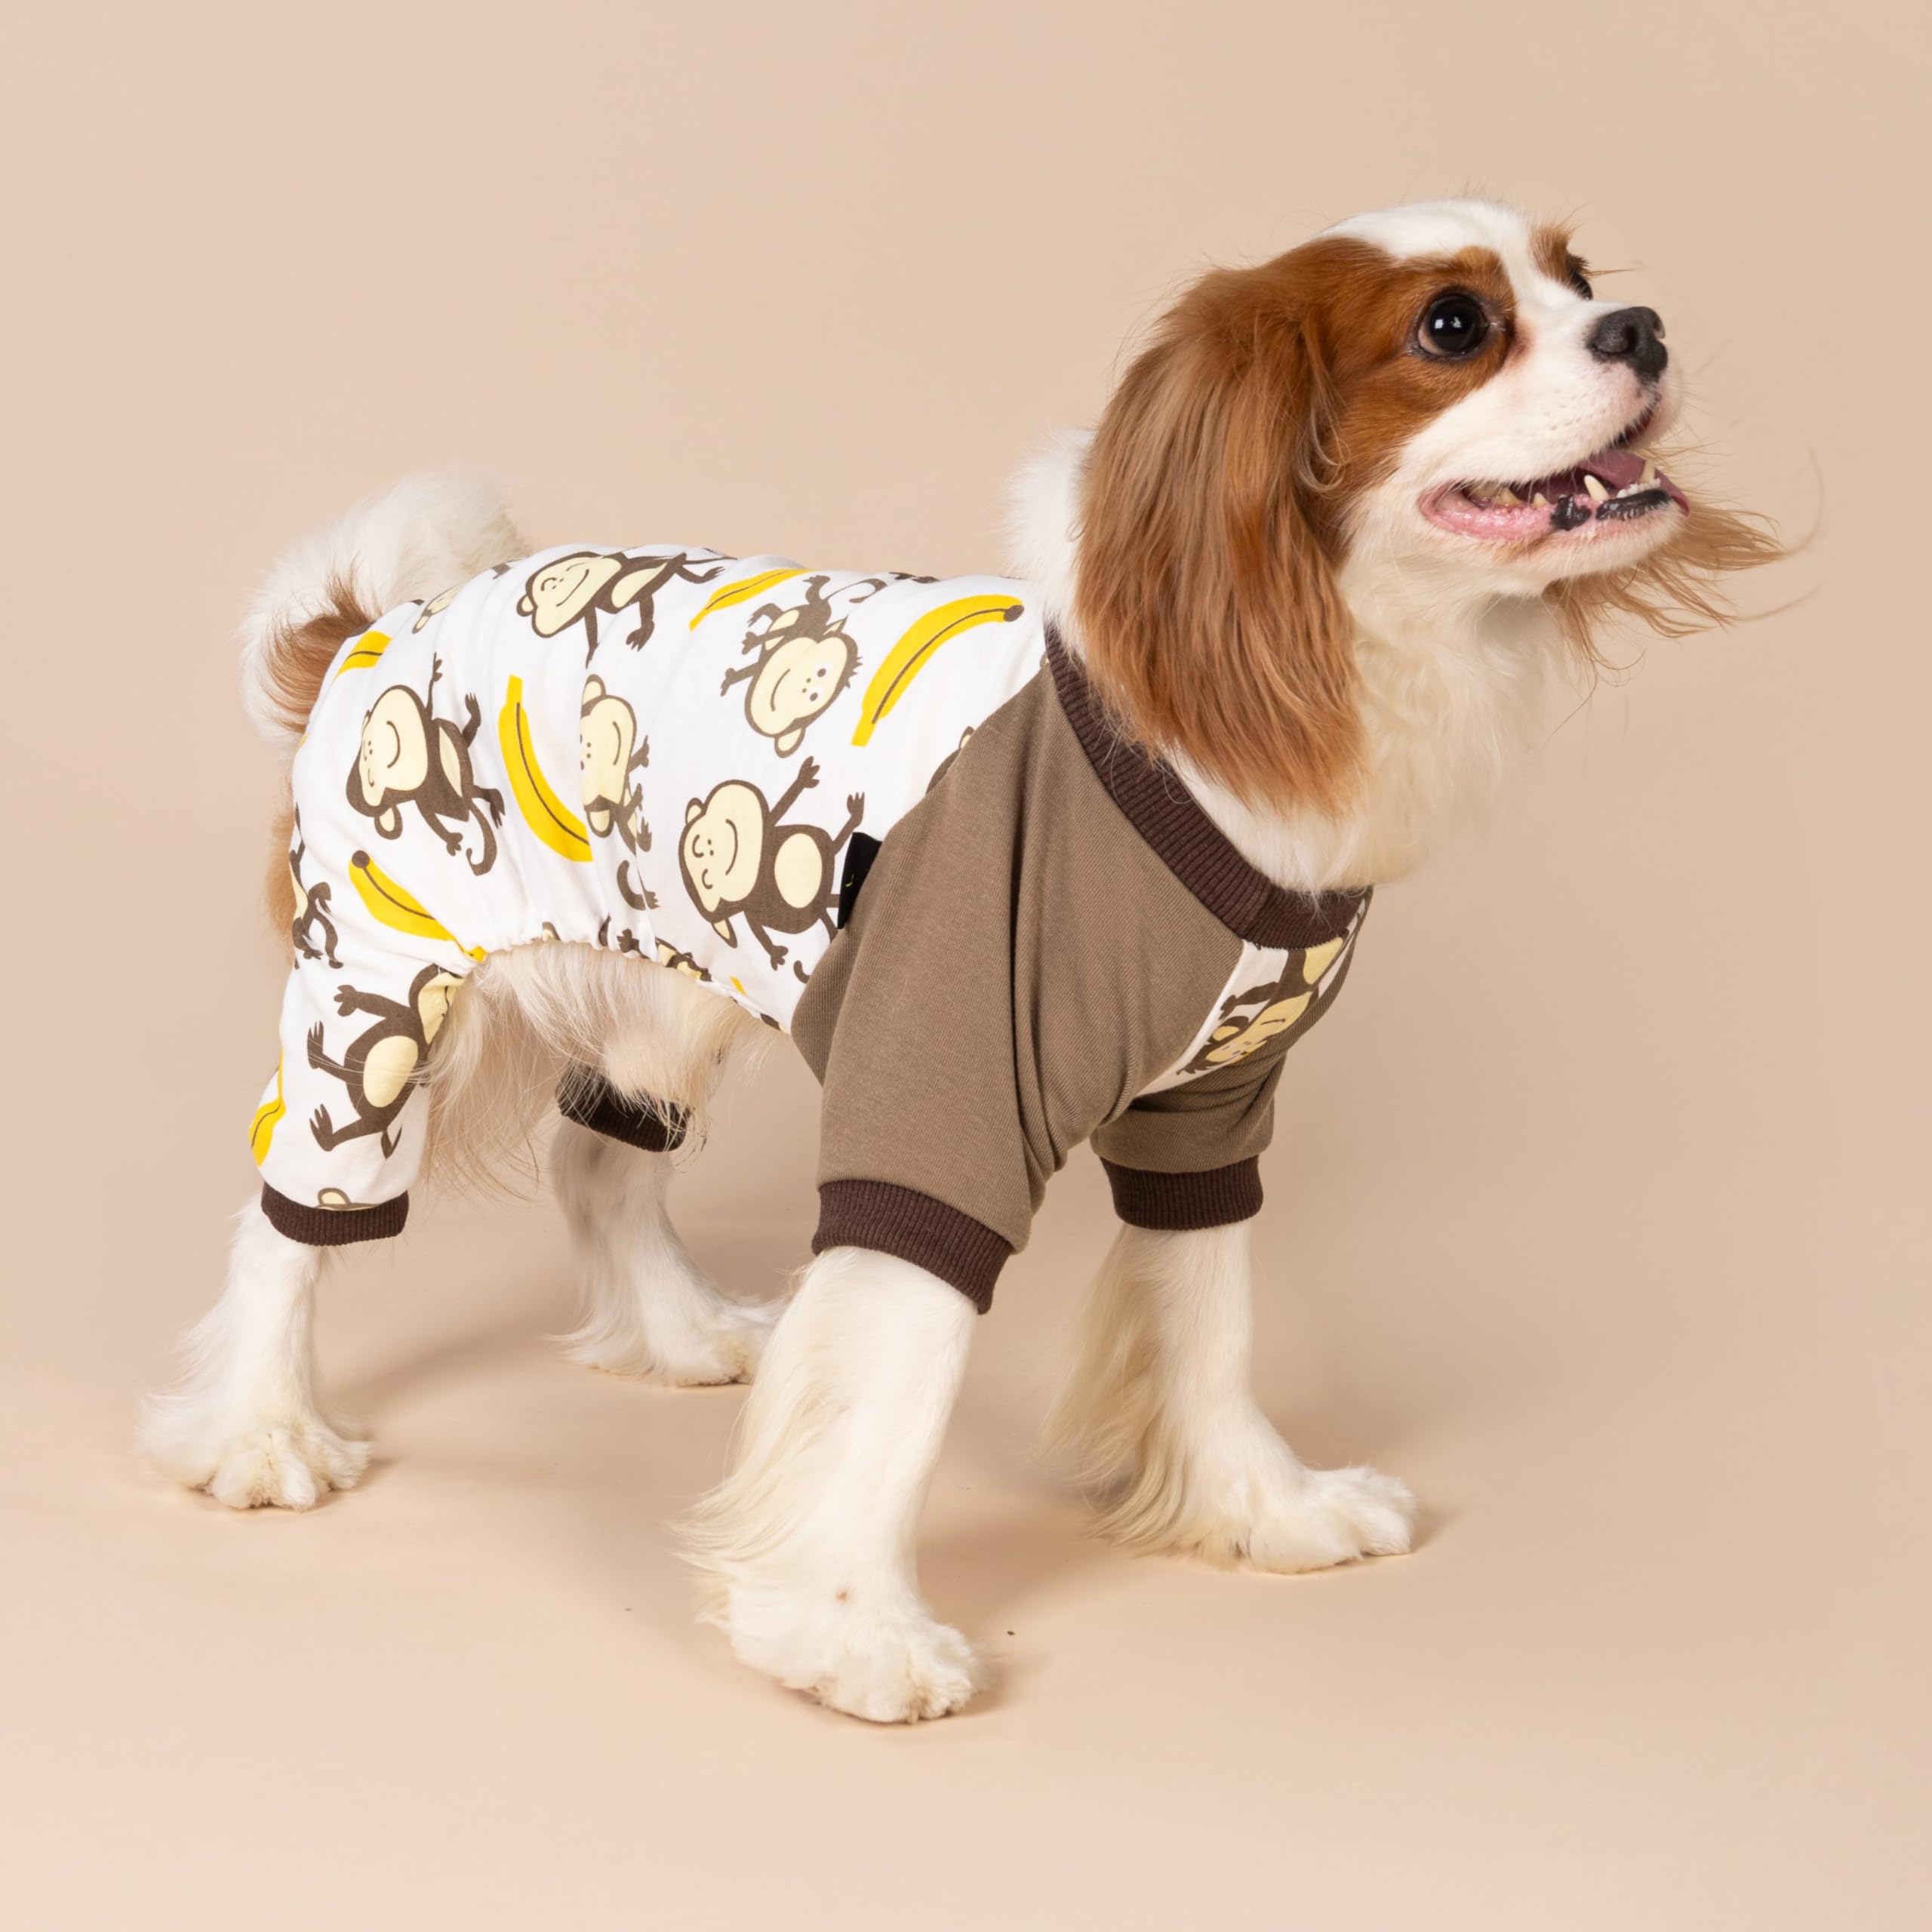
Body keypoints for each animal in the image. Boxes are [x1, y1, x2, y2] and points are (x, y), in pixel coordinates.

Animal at [306, 964, 463, 1157]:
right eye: (441, 972)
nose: (453, 973)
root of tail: (384, 1127)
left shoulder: (404, 1014)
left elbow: (376, 1002)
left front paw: (350, 996)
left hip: (365, 1099)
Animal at [346, 656, 504, 873]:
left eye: (369, 749)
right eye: (370, 777)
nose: (369, 747)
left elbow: (429, 705)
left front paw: (434, 674)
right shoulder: (421, 794)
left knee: (474, 790)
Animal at [678, 756, 864, 974]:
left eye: (697, 844)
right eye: (706, 877)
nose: (707, 846)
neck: (758, 867)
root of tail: (819, 906)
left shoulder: (766, 831)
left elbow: (778, 810)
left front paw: (805, 776)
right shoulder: (749, 909)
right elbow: (757, 929)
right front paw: (776, 955)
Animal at [718, 574, 876, 756]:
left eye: (814, 696)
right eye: (822, 672)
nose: (808, 683)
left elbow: (748, 669)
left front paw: (730, 678)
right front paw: (750, 645)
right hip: (813, 614)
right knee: (796, 607)